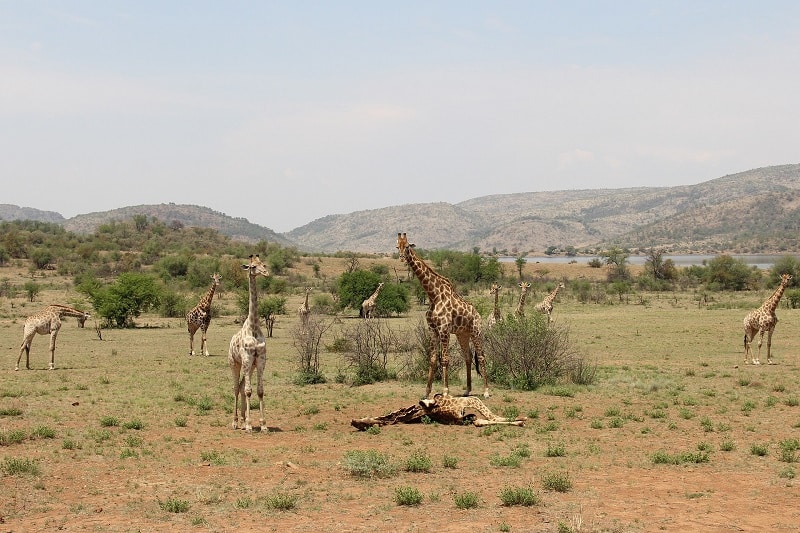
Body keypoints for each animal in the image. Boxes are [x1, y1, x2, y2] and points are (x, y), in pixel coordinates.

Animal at [396, 231, 488, 396]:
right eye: (397, 246)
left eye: (407, 246)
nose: (401, 257)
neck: (433, 295)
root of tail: (478, 314)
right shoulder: (432, 329)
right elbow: (433, 359)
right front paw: (427, 392)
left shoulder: (444, 329)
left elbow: (445, 359)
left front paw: (445, 391)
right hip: (462, 334)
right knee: (468, 357)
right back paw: (467, 390)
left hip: (476, 331)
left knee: (481, 357)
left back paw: (486, 391)